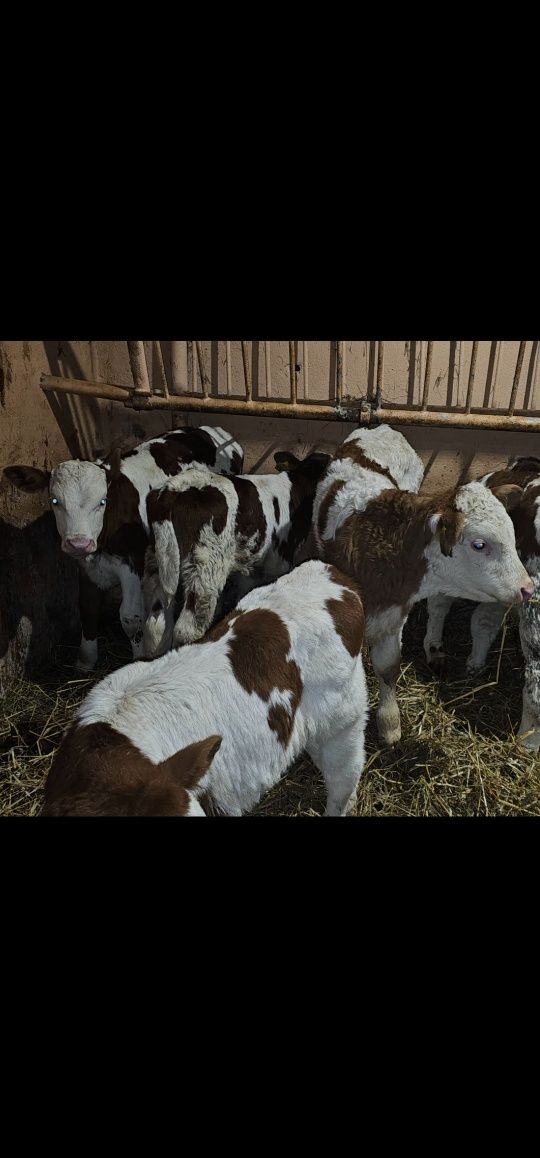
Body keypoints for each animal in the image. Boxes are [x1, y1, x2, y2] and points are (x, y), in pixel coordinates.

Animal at [3, 428, 243, 676]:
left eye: (102, 501)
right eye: (55, 501)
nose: (78, 543)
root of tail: (209, 431)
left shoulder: (132, 564)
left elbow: (130, 616)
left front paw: (137, 657)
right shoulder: (87, 567)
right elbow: (87, 608)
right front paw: (85, 662)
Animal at [143, 446, 329, 657]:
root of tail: (173, 490)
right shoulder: (279, 561)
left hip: (158, 562)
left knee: (156, 626)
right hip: (205, 567)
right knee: (187, 628)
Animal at [312, 426, 530, 741]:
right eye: (479, 544)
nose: (528, 587)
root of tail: (379, 428)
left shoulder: (393, 617)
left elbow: (388, 665)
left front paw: (389, 723)